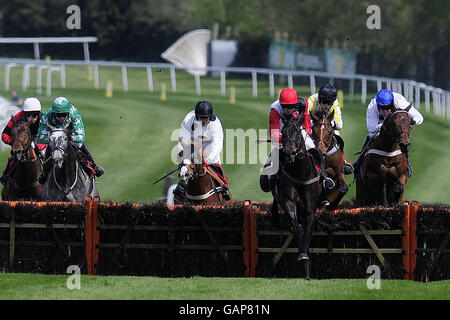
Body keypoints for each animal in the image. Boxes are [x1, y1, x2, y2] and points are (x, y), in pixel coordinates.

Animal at [270, 118, 324, 280]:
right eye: (283, 132)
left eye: (298, 132)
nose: (290, 151)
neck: (300, 173)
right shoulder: (289, 202)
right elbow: (297, 228)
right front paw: (302, 256)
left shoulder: (310, 210)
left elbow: (307, 231)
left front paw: (306, 266)